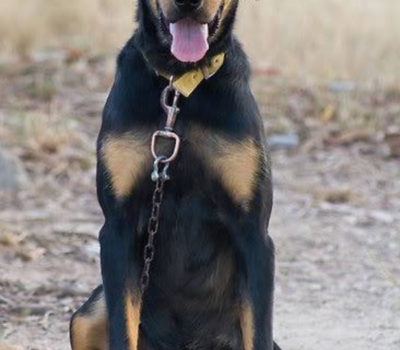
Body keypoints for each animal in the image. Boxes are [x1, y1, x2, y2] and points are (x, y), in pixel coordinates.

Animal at [69, 0, 282, 350]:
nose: (188, 2)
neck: (181, 85)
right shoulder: (117, 228)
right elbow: (122, 329)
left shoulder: (253, 231)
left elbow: (259, 333)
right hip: (86, 319)